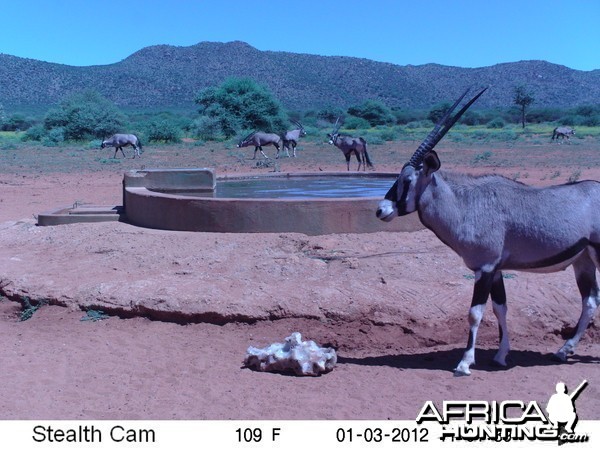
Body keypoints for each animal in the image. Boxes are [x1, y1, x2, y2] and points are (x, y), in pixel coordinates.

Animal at [376, 88, 600, 376]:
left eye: (407, 180)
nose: (381, 210)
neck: (465, 204)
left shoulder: (483, 268)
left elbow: (475, 313)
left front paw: (464, 363)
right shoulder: (495, 269)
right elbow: (499, 308)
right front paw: (501, 356)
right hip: (583, 260)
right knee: (590, 301)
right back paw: (563, 351)